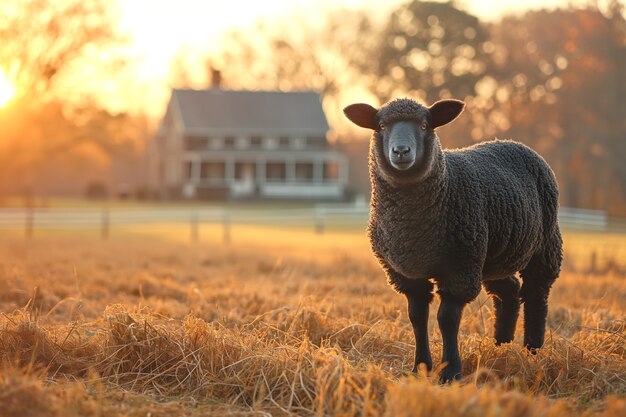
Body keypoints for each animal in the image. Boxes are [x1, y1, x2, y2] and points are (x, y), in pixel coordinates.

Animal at [344, 96, 564, 380]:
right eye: (381, 126)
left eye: (424, 125)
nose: (401, 151)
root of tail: (514, 142)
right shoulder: (406, 275)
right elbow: (417, 317)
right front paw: (420, 367)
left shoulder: (460, 267)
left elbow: (446, 318)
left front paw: (450, 371)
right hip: (493, 255)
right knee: (509, 291)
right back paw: (501, 346)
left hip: (543, 245)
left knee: (537, 292)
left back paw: (532, 351)